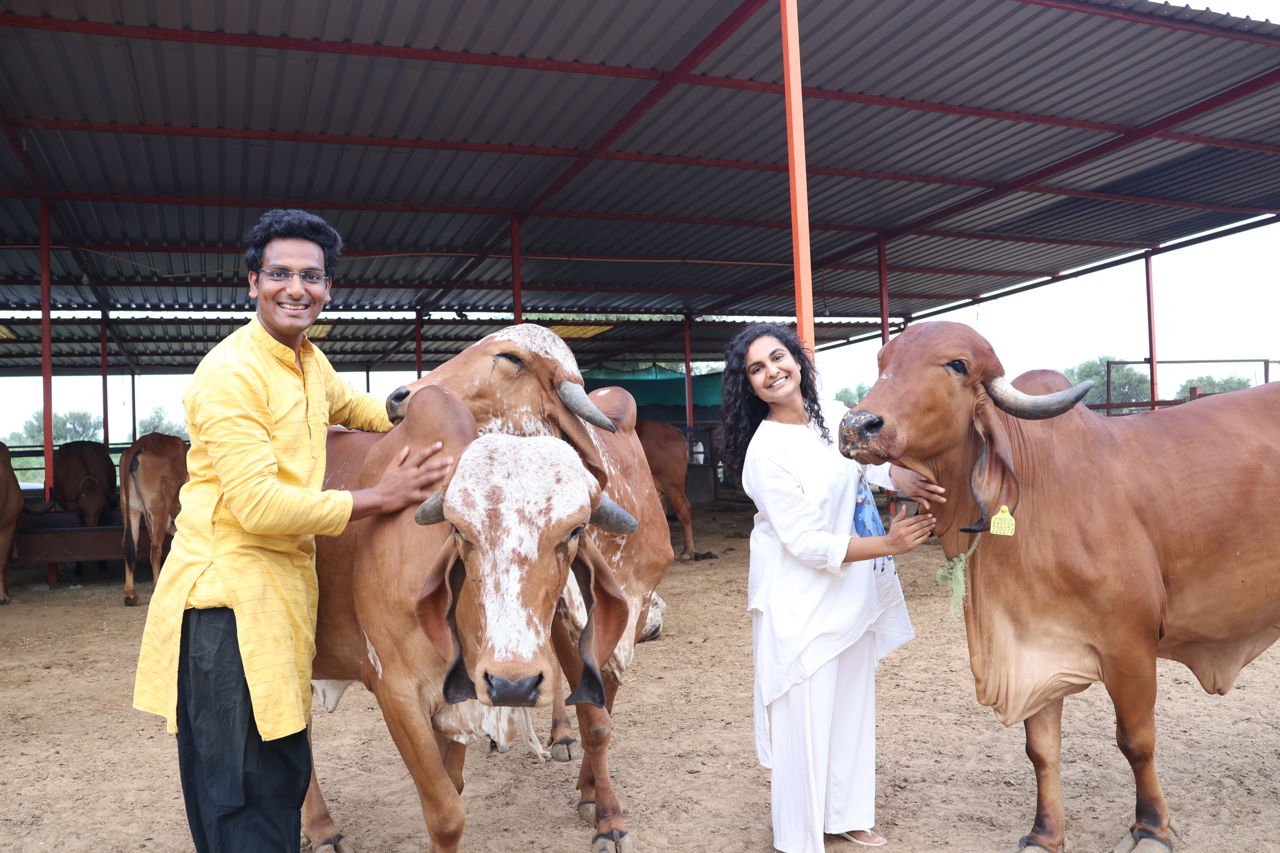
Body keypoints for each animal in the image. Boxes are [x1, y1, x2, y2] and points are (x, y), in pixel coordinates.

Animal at [119, 432, 188, 604]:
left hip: (131, 510)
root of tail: (140, 445)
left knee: (129, 545)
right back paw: (156, 587)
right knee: (155, 547)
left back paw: (130, 594)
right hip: (159, 510)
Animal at [300, 386, 640, 850]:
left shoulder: (460, 694)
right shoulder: (396, 692)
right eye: (460, 531)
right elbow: (445, 813)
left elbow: (454, 785)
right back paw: (322, 829)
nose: (513, 684)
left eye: (574, 530)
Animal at [839, 320, 1280, 850]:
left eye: (957, 364)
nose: (857, 426)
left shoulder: (1130, 648)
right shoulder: (1033, 644)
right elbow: (1041, 750)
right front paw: (1044, 833)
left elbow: (1136, 741)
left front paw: (1152, 826)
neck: (1034, 494)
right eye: (882, 361)